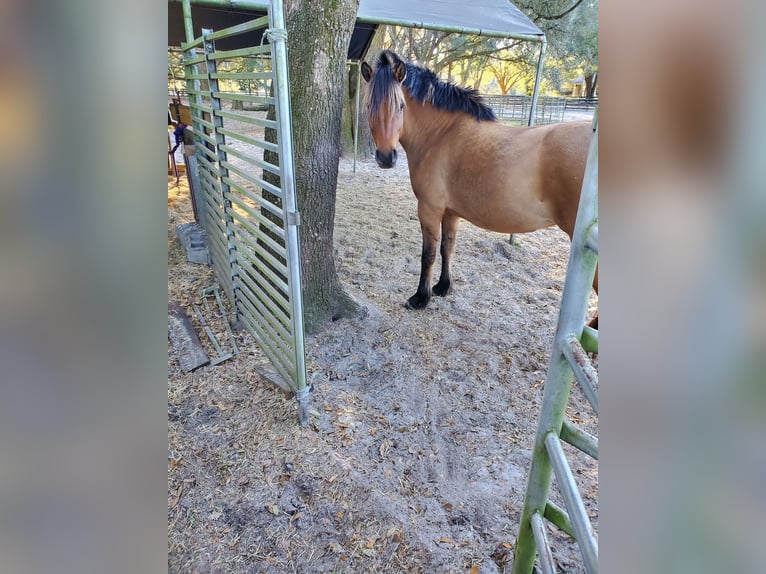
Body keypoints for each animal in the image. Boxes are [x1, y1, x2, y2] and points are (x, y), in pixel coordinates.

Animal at [361, 50, 596, 321]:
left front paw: (421, 298)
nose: (385, 157)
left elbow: (428, 254)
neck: (442, 133)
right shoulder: (450, 212)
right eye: (369, 105)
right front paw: (443, 287)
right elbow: (447, 248)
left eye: (400, 105)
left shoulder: (429, 209)